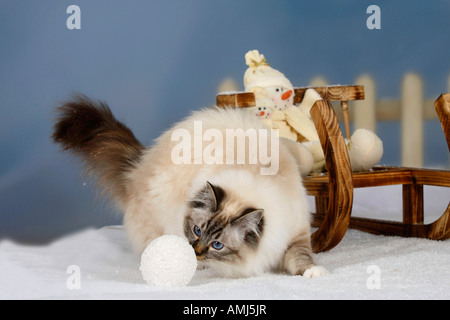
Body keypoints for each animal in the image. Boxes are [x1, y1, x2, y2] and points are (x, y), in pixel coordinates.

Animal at [52, 94, 326, 278]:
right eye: (196, 231)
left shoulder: (296, 235)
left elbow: (301, 258)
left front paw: (314, 273)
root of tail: (138, 166)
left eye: (217, 245)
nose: (195, 250)